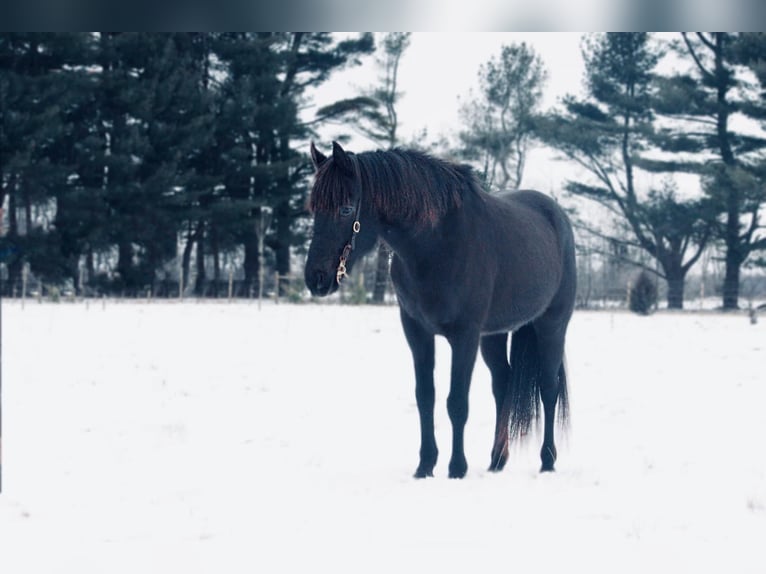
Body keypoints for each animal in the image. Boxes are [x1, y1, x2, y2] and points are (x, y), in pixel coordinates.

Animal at [306, 142, 576, 480]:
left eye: (344, 209)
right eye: (313, 208)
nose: (315, 278)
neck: (436, 246)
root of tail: (557, 217)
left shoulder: (465, 336)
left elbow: (457, 402)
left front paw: (456, 468)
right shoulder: (417, 332)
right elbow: (426, 397)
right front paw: (425, 466)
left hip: (552, 325)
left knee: (548, 388)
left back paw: (548, 460)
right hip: (494, 335)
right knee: (503, 384)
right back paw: (497, 460)